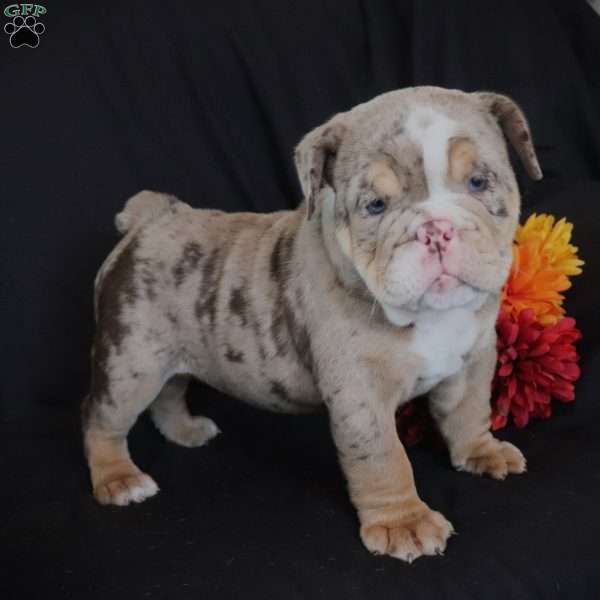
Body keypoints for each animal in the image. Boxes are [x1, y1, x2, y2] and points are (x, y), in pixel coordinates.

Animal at [82, 85, 540, 564]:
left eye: (478, 182)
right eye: (375, 206)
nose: (435, 230)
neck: (432, 315)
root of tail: (149, 220)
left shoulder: (472, 359)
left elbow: (469, 411)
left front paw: (481, 451)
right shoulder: (361, 392)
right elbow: (384, 456)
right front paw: (404, 522)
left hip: (173, 353)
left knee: (170, 391)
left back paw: (186, 431)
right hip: (132, 360)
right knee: (101, 417)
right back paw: (118, 479)